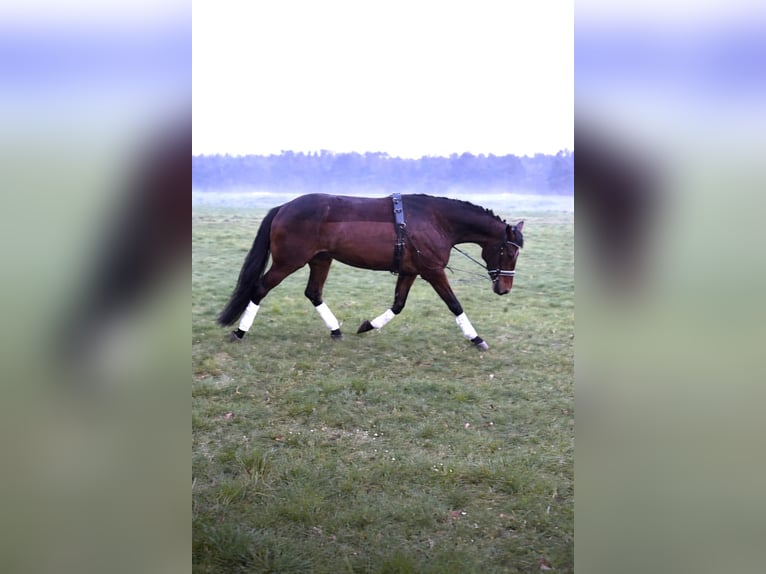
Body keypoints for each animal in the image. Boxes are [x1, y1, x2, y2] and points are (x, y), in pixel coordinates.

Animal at [218, 193, 524, 350]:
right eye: (510, 252)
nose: (504, 289)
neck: (435, 220)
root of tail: (284, 207)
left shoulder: (411, 271)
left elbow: (398, 305)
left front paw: (367, 326)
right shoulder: (433, 271)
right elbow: (455, 305)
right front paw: (476, 338)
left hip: (321, 260)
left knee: (313, 293)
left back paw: (335, 330)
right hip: (288, 262)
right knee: (260, 289)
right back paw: (240, 332)